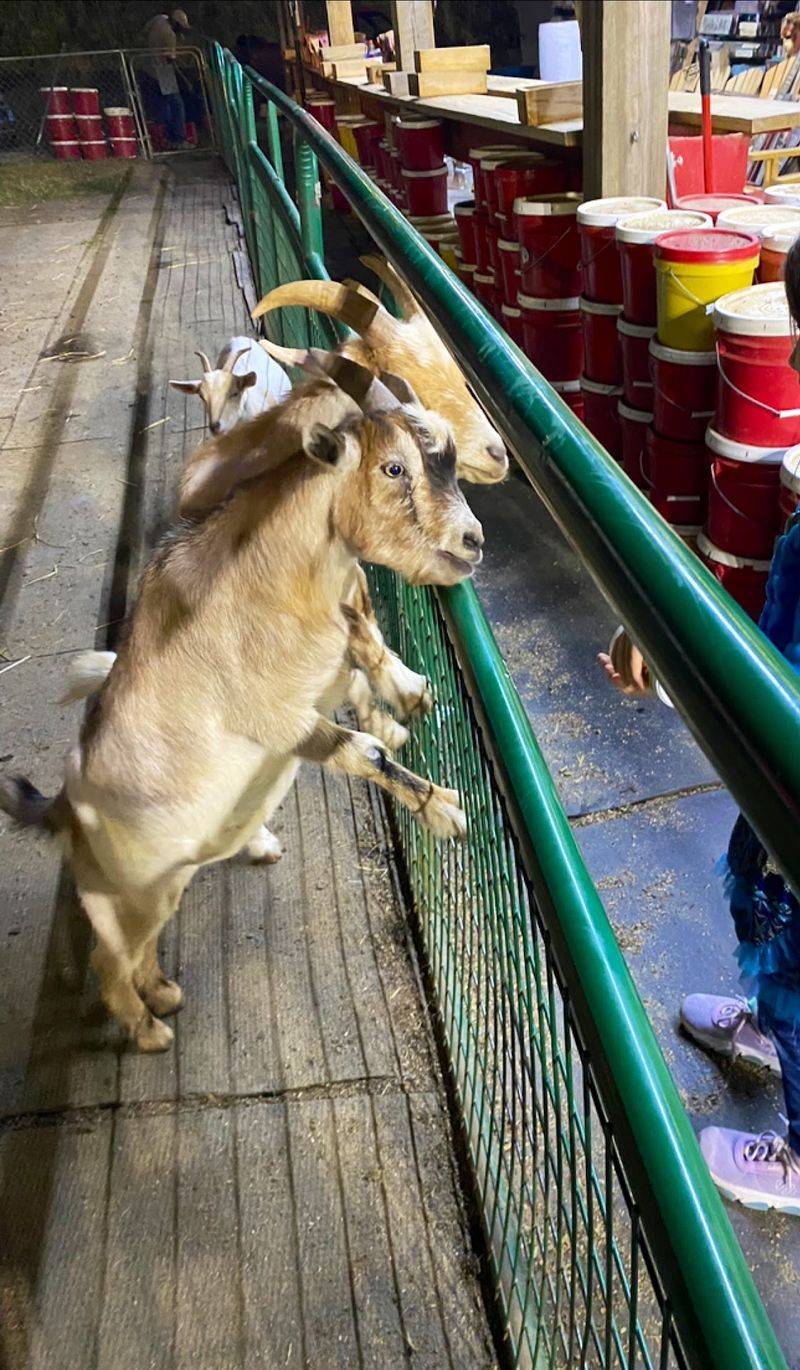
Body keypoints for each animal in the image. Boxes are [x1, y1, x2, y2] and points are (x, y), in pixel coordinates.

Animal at [1, 358, 483, 1053]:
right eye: (394, 468)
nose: (473, 541)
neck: (271, 581)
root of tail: (64, 807)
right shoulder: (277, 715)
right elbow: (361, 751)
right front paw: (443, 808)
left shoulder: (325, 657)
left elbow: (361, 648)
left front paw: (405, 701)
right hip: (120, 895)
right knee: (107, 959)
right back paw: (149, 1031)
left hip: (156, 886)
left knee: (140, 949)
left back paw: (164, 994)